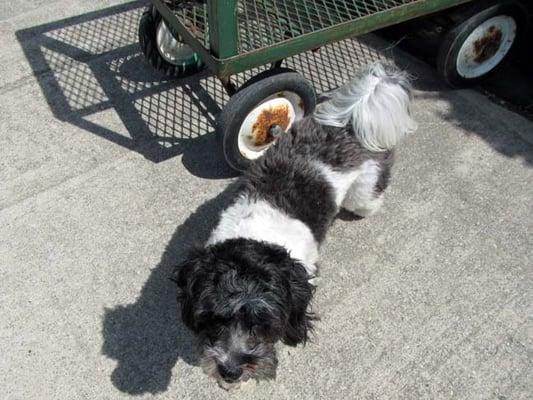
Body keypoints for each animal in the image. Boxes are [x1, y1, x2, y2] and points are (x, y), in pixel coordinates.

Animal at [170, 61, 416, 388]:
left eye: (262, 324)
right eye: (213, 319)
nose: (230, 371)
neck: (256, 234)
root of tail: (351, 122)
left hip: (364, 189)